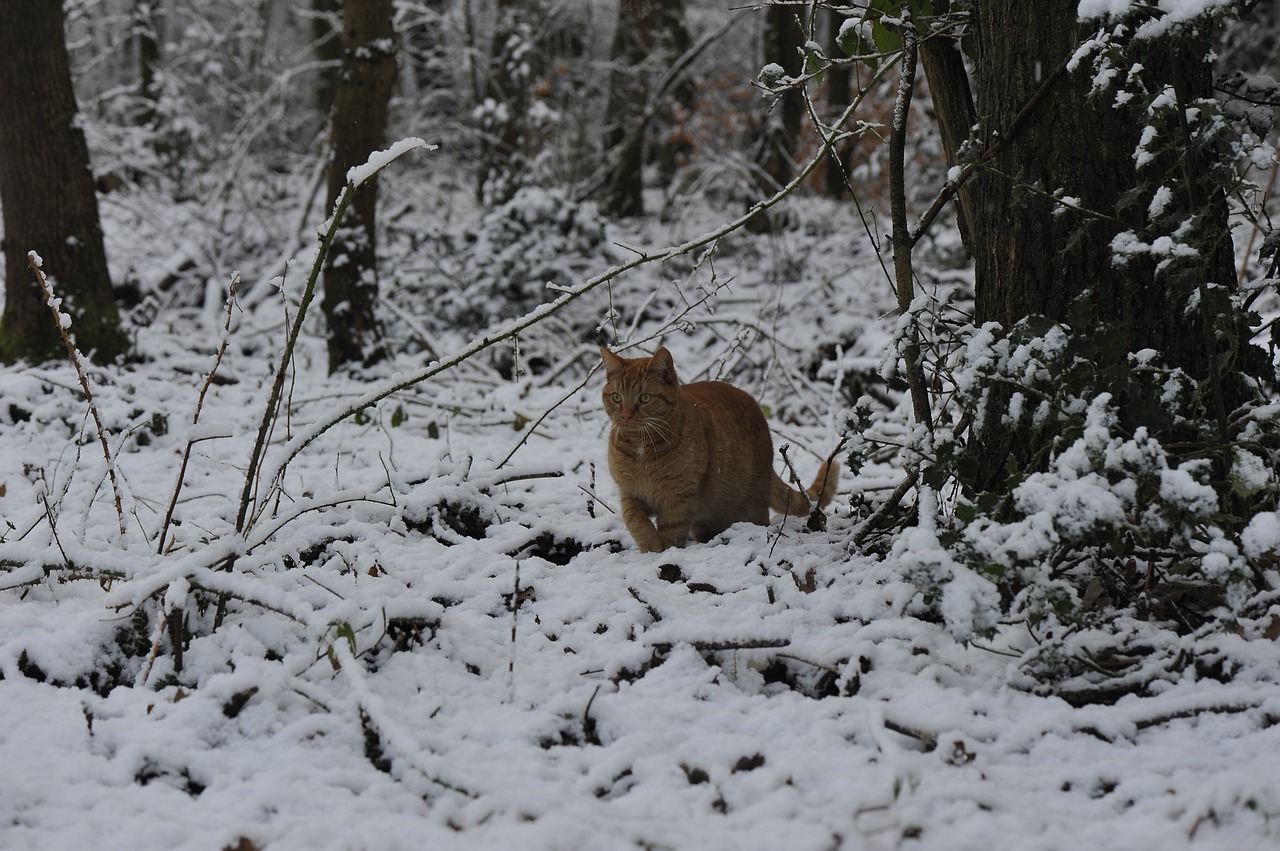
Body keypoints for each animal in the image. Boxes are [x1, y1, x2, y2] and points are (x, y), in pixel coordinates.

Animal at [599, 345, 839, 550]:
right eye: (617, 397)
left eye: (645, 398)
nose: (626, 415)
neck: (642, 449)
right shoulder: (630, 494)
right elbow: (636, 522)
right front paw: (651, 547)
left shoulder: (679, 499)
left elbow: (671, 532)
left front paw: (664, 551)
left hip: (750, 507)